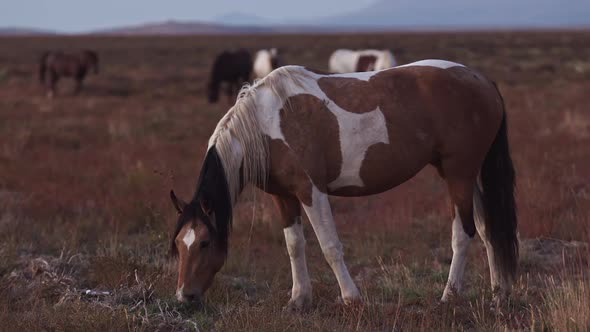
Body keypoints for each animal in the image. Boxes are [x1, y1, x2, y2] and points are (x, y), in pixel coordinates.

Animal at [170, 59, 520, 312]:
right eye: (178, 244)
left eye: (204, 243)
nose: (184, 296)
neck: (265, 124)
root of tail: (482, 80)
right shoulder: (284, 197)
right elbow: (294, 245)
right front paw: (298, 299)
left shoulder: (311, 191)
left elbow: (329, 246)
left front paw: (351, 298)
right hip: (467, 175)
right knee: (488, 229)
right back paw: (498, 295)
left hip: (459, 174)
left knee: (463, 233)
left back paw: (449, 295)